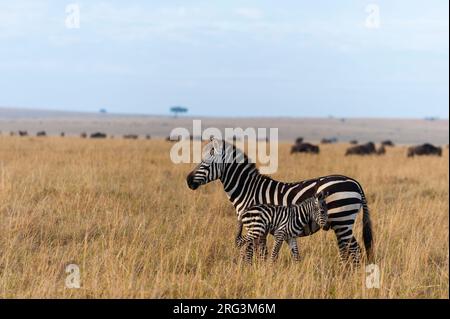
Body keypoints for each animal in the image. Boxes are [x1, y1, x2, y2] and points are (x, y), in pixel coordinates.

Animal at [185, 139, 374, 266]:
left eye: (205, 164)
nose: (188, 181)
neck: (248, 190)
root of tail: (354, 182)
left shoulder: (256, 223)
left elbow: (255, 252)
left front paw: (255, 272)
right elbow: (259, 252)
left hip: (342, 220)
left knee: (351, 249)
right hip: (343, 223)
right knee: (353, 249)